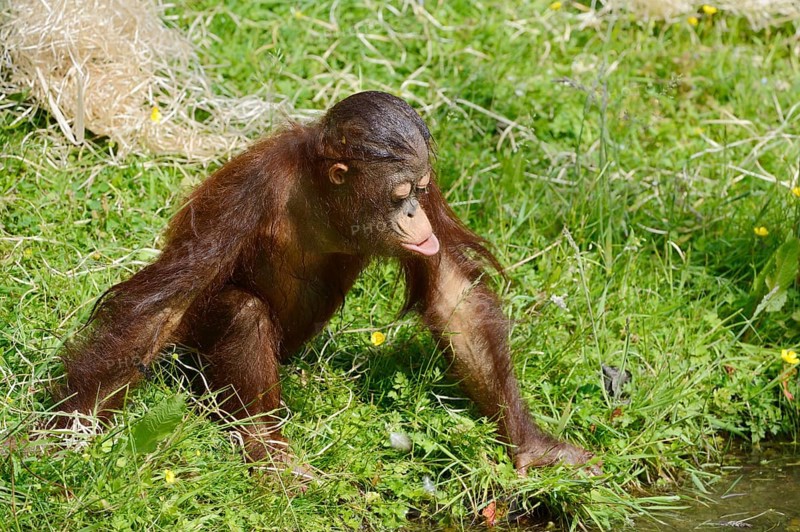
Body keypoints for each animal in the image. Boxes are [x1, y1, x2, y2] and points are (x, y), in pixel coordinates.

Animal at [57, 91, 598, 474]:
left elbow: (452, 294)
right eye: (399, 192)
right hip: (189, 349)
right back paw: (268, 451)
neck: (323, 196)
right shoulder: (251, 188)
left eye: (420, 189)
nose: (413, 212)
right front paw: (73, 431)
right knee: (240, 312)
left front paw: (532, 447)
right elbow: (168, 299)